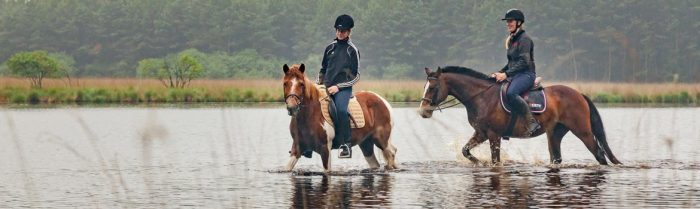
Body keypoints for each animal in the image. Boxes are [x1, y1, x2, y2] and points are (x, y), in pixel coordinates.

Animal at [418, 66, 620, 166]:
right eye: (425, 86)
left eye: (433, 87)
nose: (423, 110)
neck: (481, 96)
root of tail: (579, 94)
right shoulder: (481, 133)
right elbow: (465, 151)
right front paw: (478, 162)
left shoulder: (494, 135)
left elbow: (495, 161)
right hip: (555, 133)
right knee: (556, 158)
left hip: (583, 131)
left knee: (599, 153)